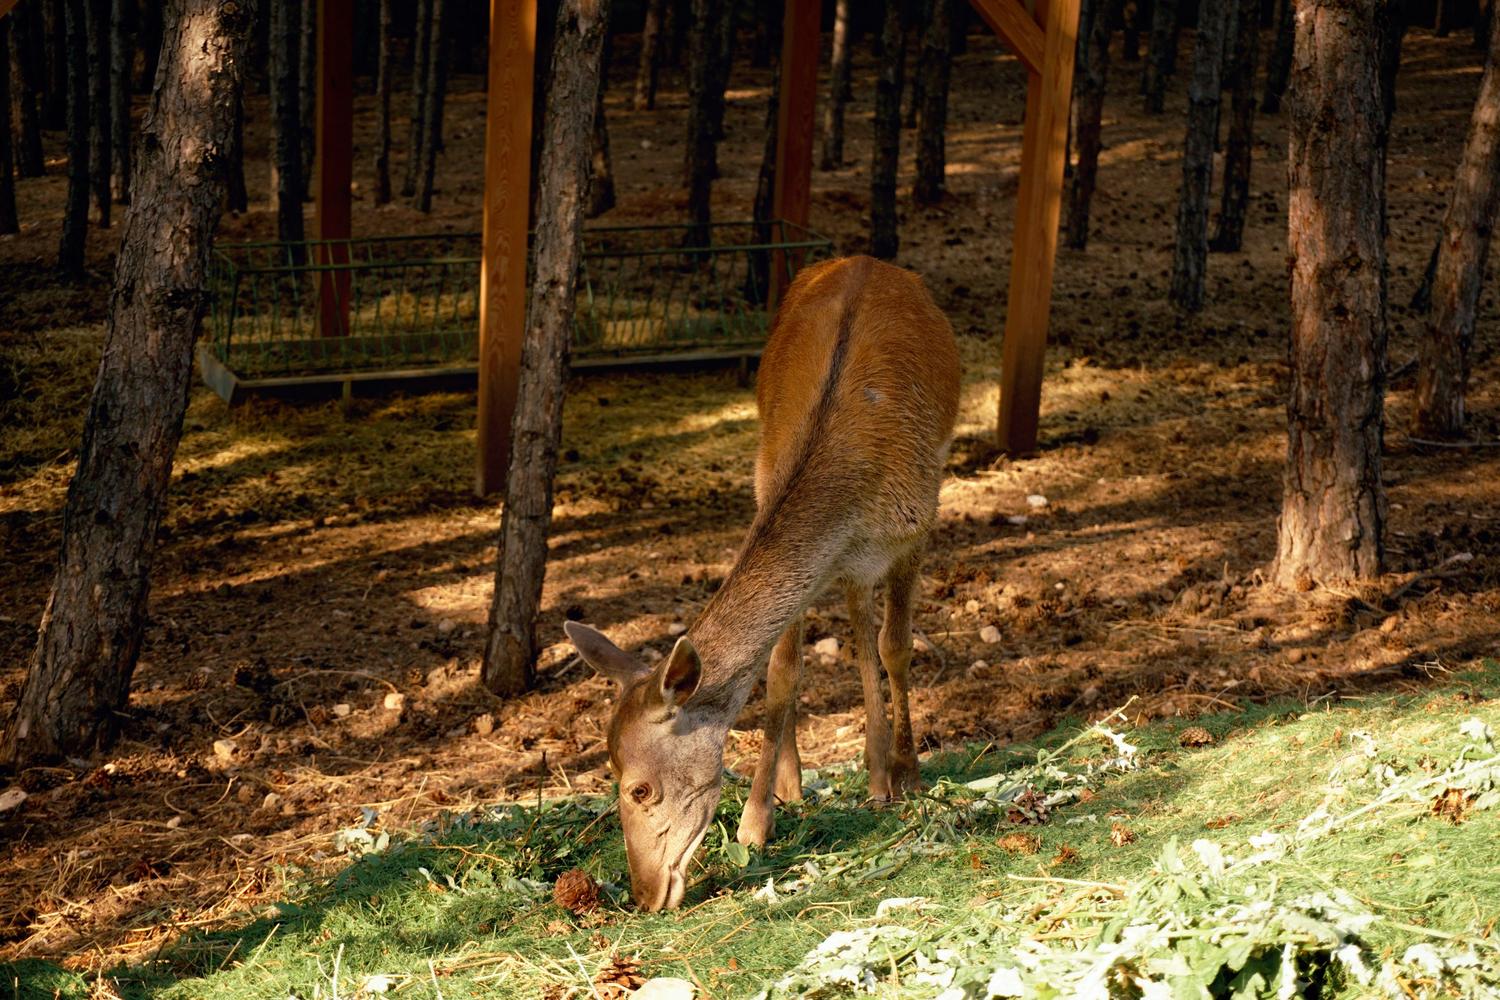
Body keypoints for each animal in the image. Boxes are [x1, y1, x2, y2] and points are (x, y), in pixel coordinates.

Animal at [564, 255, 961, 911]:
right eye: (610, 775)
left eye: (641, 789)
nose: (644, 894)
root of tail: (865, 260)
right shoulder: (777, 508)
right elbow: (781, 672)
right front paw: (759, 819)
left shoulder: (918, 525)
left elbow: (897, 648)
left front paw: (909, 774)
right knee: (848, 606)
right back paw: (815, 779)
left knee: (867, 622)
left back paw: (883, 774)